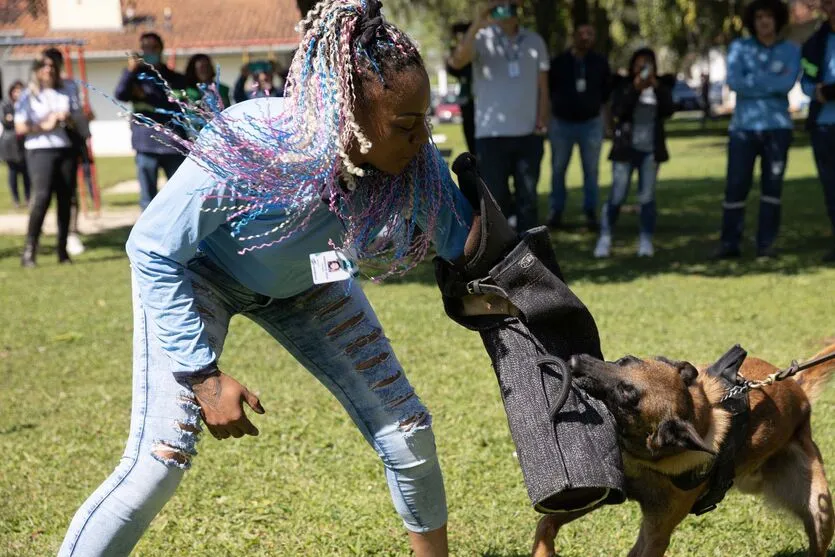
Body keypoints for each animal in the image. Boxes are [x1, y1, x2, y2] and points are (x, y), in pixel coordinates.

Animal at [532, 344, 835, 556]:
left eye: (627, 396)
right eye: (624, 360)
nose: (574, 361)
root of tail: (799, 390)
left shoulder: (656, 534)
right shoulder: (608, 493)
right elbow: (546, 524)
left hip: (821, 512)